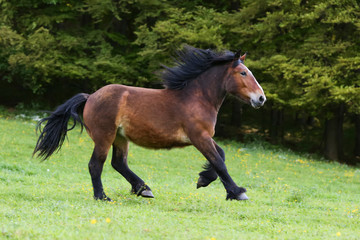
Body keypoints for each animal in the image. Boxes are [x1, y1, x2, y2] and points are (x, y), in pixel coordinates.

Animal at [32, 45, 266, 201]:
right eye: (243, 73)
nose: (261, 98)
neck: (197, 98)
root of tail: (90, 97)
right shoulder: (199, 136)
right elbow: (219, 161)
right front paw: (237, 192)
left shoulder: (203, 137)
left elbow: (221, 156)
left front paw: (204, 179)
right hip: (104, 137)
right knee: (95, 164)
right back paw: (102, 196)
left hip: (120, 137)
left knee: (119, 163)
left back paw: (143, 188)